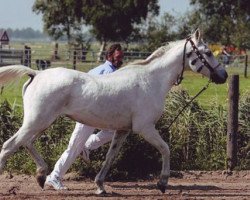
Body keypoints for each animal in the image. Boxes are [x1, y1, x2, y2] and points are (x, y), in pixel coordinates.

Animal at [0, 30, 227, 195]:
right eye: (207, 52)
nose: (223, 75)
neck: (152, 81)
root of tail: (36, 73)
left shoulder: (123, 130)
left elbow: (110, 156)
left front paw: (100, 186)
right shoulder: (145, 128)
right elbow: (165, 149)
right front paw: (162, 183)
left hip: (40, 122)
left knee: (26, 143)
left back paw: (41, 176)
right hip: (37, 121)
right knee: (9, 146)